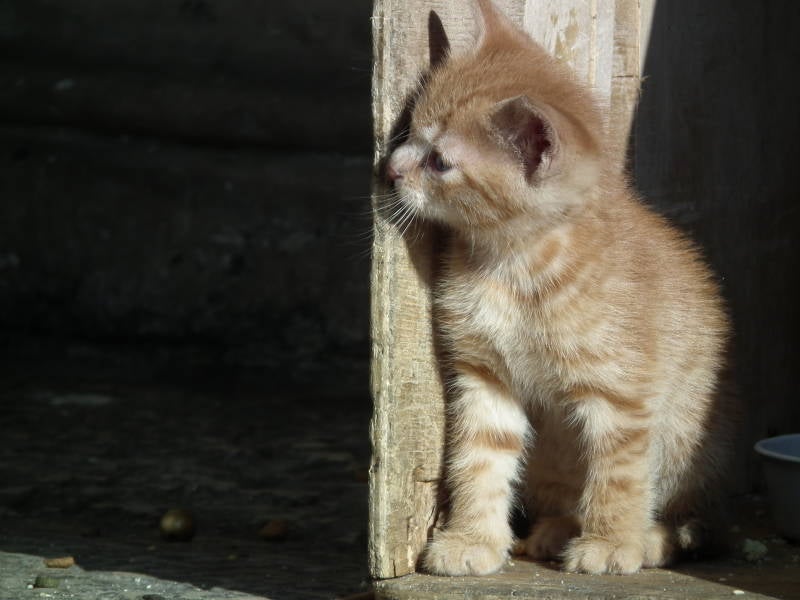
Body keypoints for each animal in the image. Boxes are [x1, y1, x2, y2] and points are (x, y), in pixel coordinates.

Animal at [385, 0, 736, 576]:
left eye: (440, 161)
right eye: (410, 132)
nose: (388, 170)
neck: (516, 264)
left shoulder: (623, 394)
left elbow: (618, 474)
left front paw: (613, 543)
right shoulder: (485, 374)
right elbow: (479, 459)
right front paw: (473, 538)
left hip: (688, 438)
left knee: (696, 521)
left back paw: (651, 538)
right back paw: (555, 528)